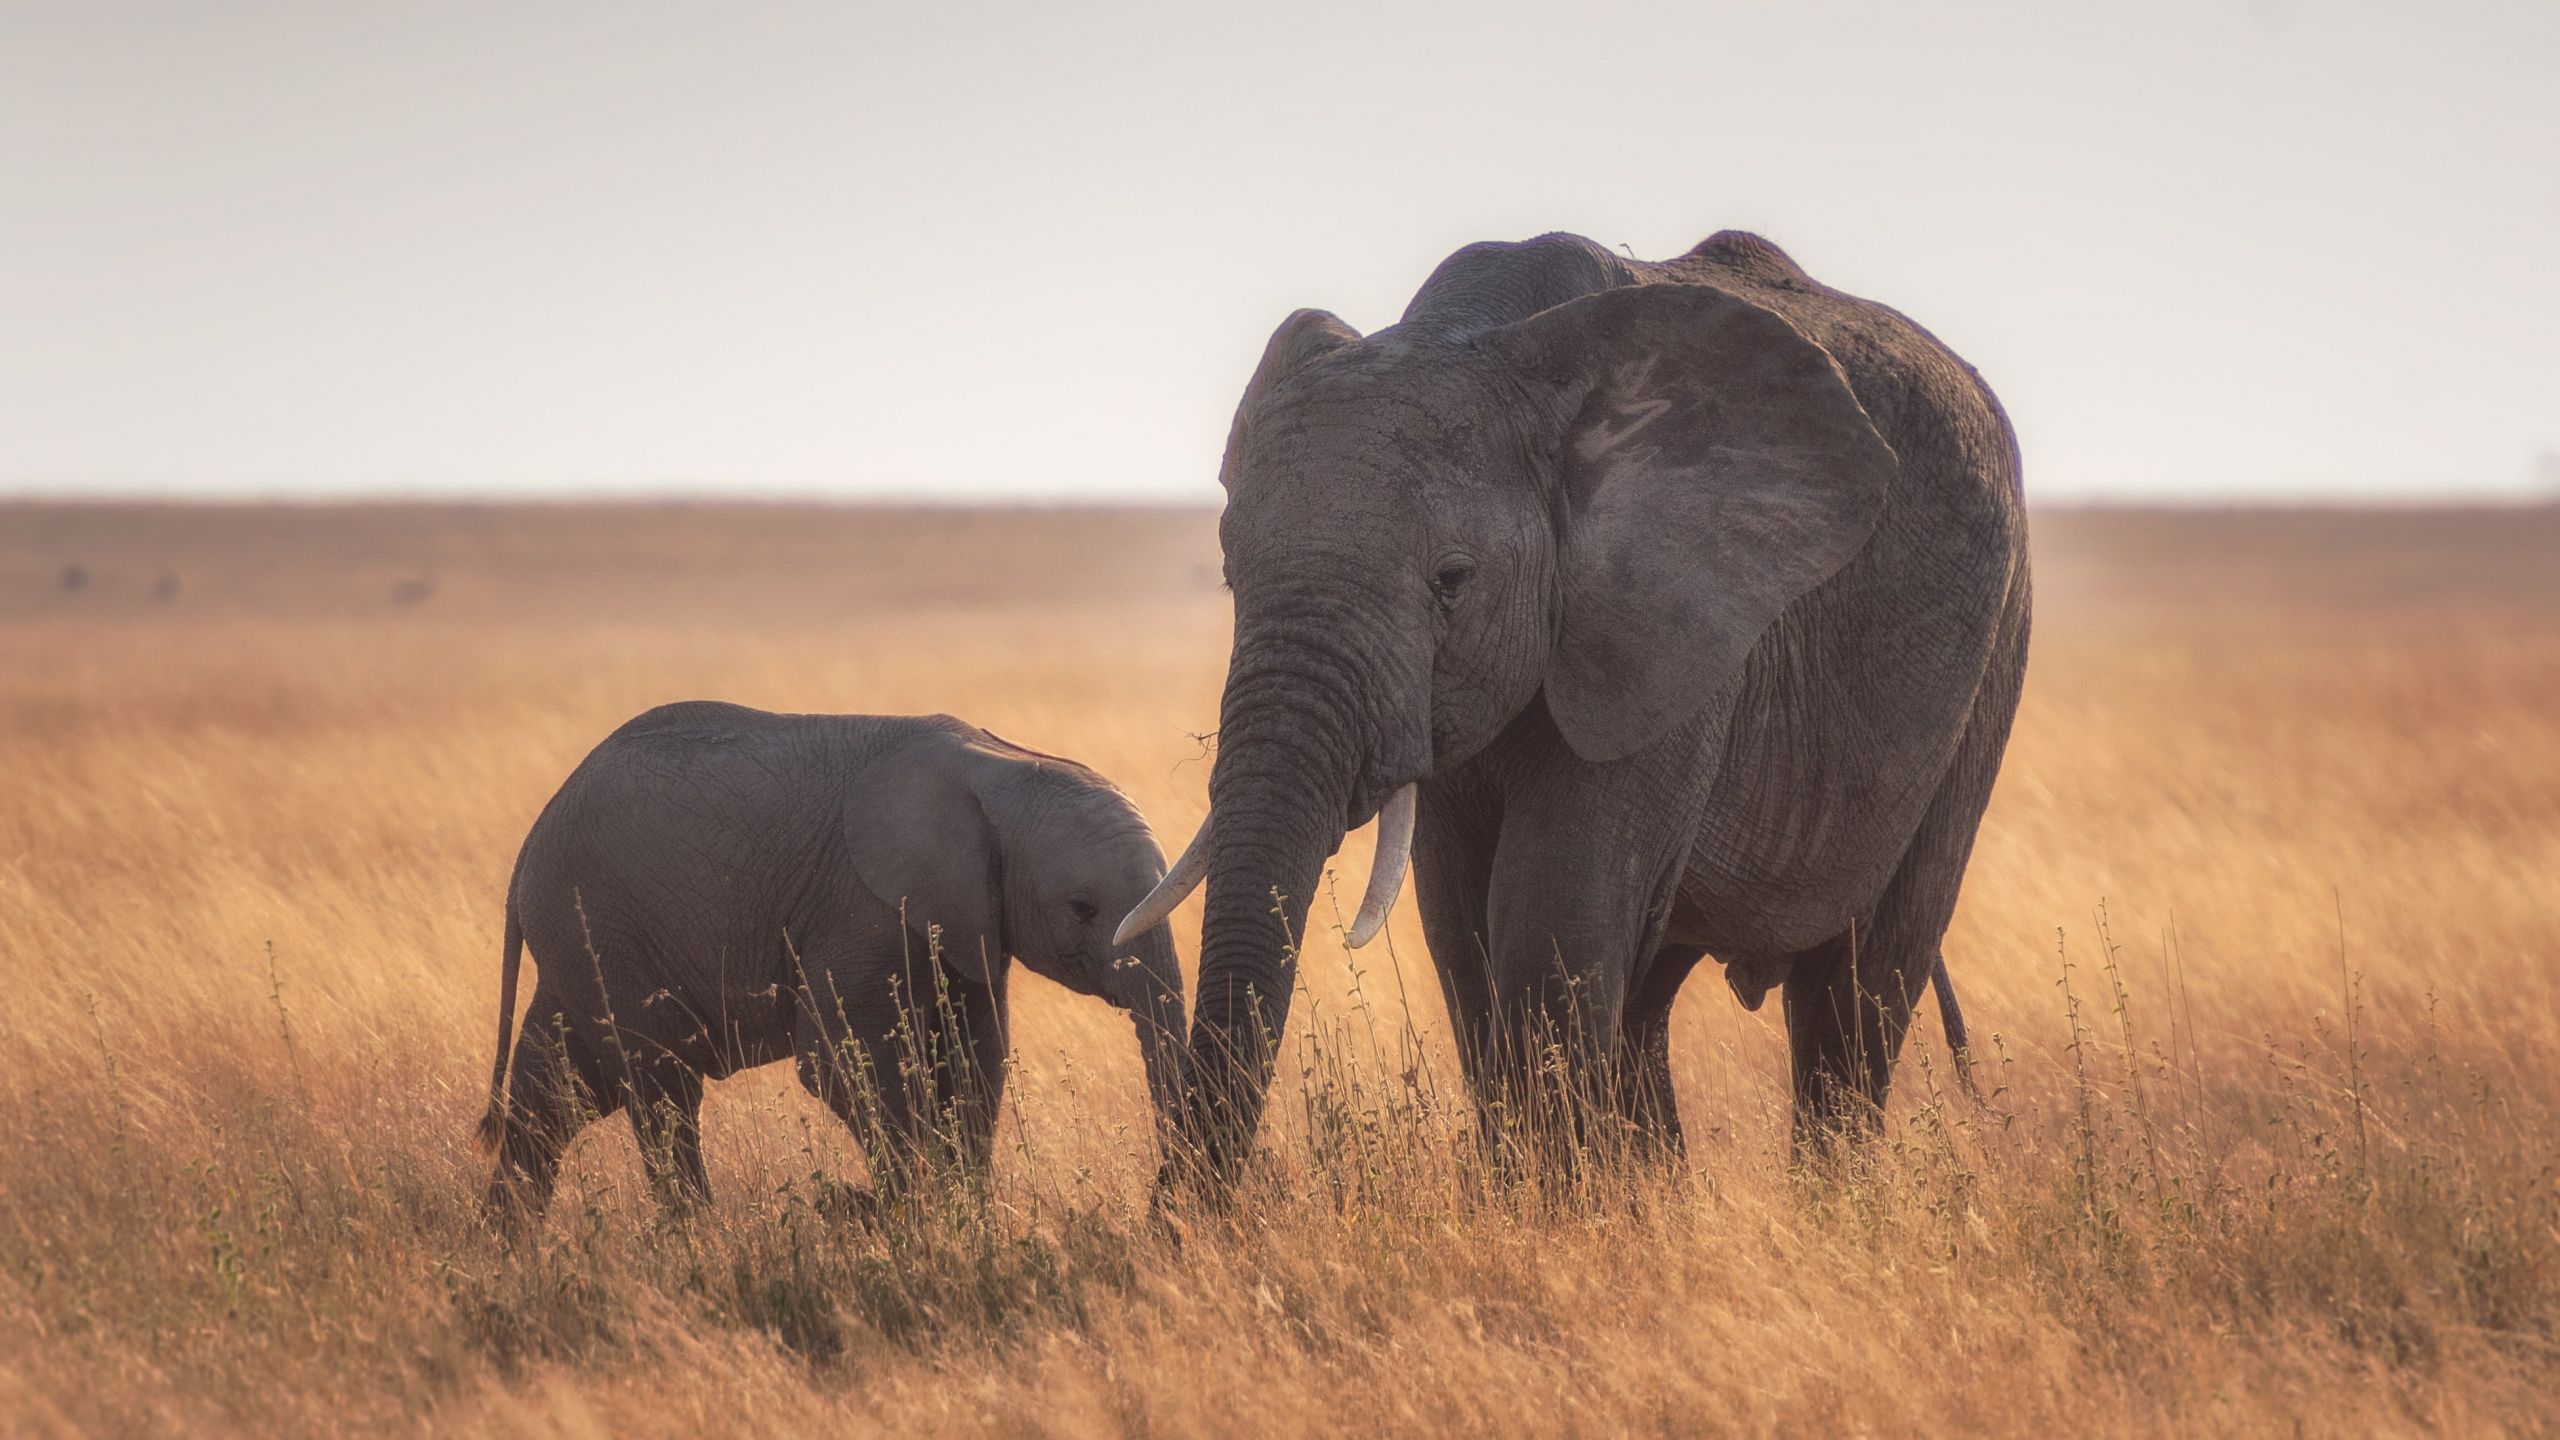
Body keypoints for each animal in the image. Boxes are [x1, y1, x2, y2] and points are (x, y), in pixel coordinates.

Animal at [473, 702, 1187, 1214]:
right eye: (1082, 908)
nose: (1164, 1205)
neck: (1001, 766)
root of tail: (527, 848)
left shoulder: (966, 921)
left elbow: (974, 1060)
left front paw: (964, 1215)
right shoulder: (857, 905)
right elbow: (842, 1063)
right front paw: (912, 1217)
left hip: (581, 942)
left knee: (555, 1093)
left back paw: (510, 1250)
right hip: (598, 926)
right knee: (661, 1087)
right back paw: (699, 1241)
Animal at [1131, 229, 2027, 1173]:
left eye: (1452, 582)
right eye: (1230, 574)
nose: (1183, 1209)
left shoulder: (1674, 629)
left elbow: (1548, 921)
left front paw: (1548, 1202)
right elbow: (1464, 933)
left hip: (1991, 657)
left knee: (1858, 988)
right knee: (1650, 1002)